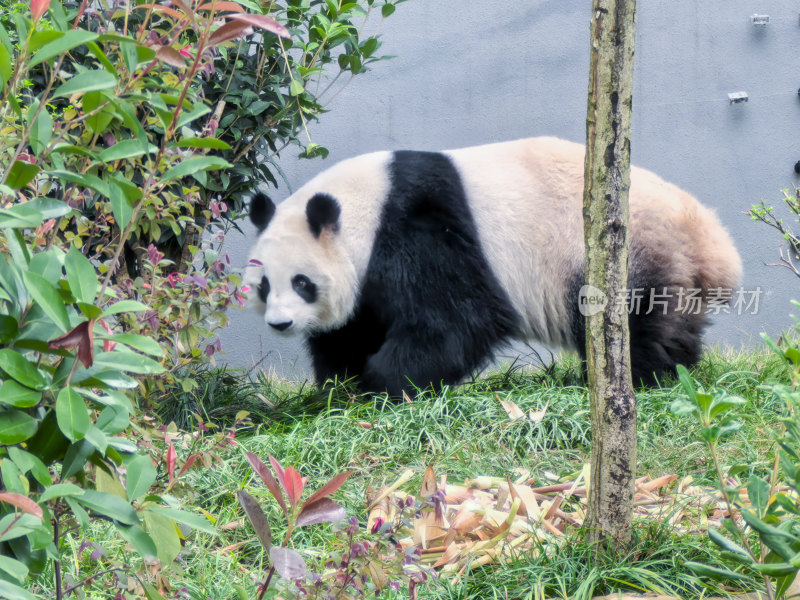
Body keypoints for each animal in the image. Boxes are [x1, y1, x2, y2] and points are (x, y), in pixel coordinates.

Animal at [245, 138, 744, 396]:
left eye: (302, 282)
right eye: (264, 285)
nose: (281, 324)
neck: (363, 209)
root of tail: (711, 239)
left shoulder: (419, 229)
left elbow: (458, 319)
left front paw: (384, 383)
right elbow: (351, 328)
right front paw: (340, 384)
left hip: (623, 255)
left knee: (633, 324)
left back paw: (645, 377)